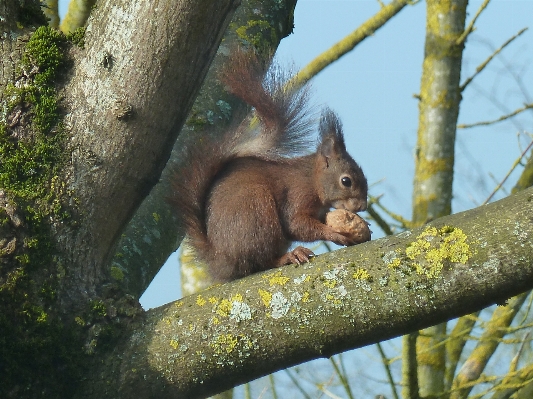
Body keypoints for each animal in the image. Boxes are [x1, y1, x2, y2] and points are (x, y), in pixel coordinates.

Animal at [170, 49, 366, 282]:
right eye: (346, 181)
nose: (362, 206)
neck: (313, 179)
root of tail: (222, 260)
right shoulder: (297, 194)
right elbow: (296, 224)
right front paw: (335, 233)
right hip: (257, 213)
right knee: (260, 262)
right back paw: (289, 256)